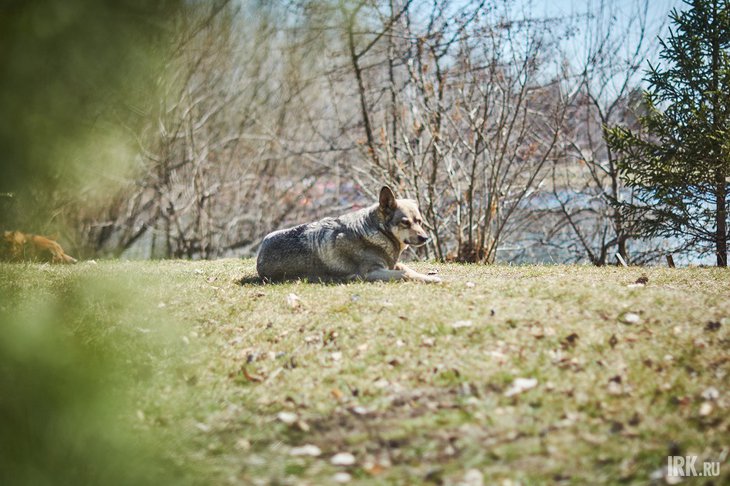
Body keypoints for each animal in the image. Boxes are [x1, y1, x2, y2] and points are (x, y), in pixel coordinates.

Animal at [256, 187, 438, 284]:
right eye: (405, 223)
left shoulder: (390, 266)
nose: (425, 238)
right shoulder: (371, 273)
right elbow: (405, 274)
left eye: (419, 221)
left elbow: (408, 269)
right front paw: (434, 279)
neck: (379, 232)